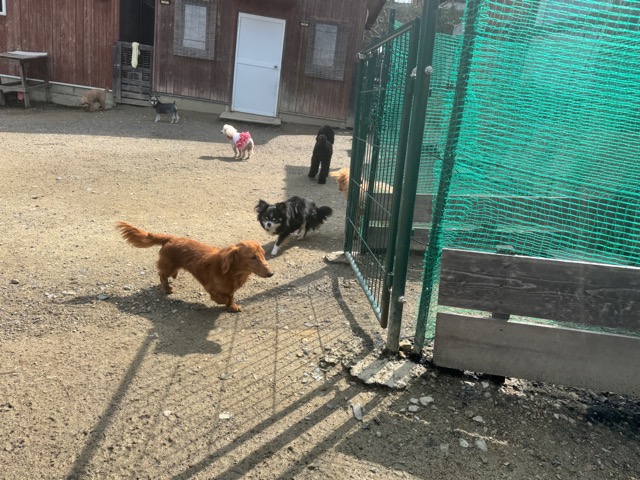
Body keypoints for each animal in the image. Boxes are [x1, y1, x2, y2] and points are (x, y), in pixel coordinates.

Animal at [116, 222, 273, 312]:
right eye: (253, 257)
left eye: (263, 254)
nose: (271, 273)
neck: (232, 273)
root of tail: (171, 238)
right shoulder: (210, 287)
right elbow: (220, 298)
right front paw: (224, 303)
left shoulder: (231, 289)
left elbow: (230, 296)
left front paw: (232, 306)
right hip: (169, 267)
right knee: (161, 275)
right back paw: (167, 288)